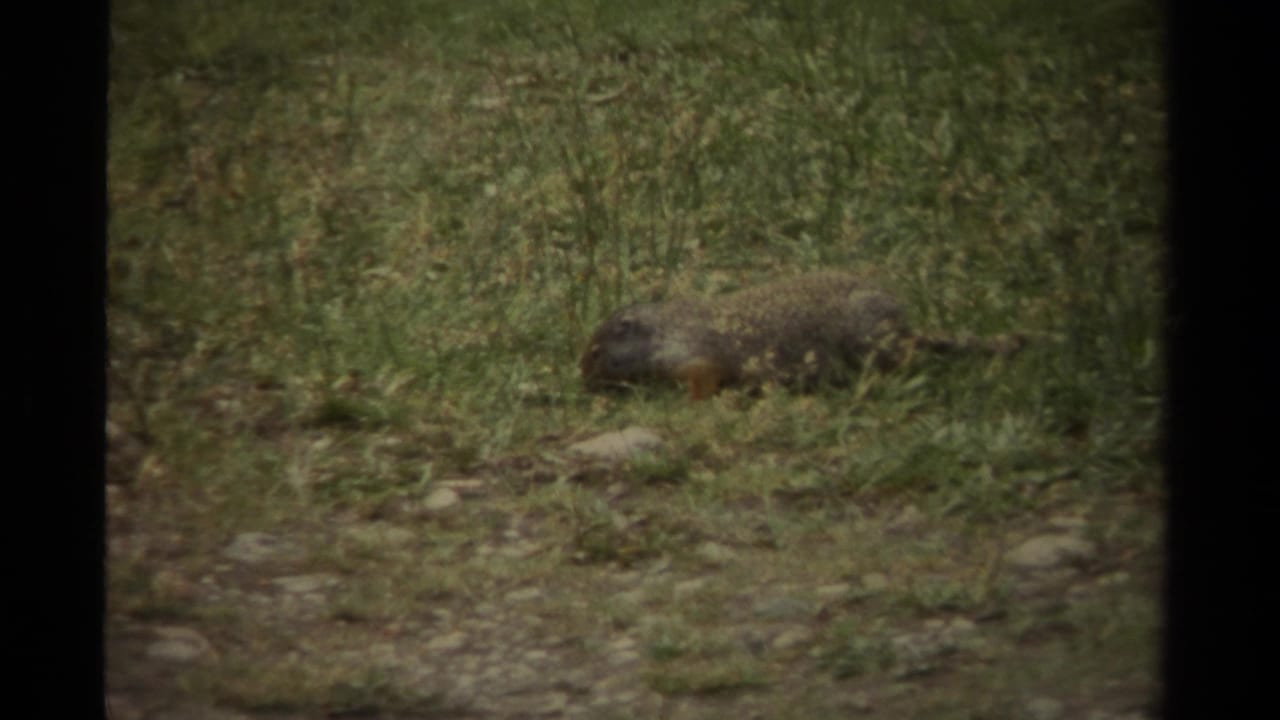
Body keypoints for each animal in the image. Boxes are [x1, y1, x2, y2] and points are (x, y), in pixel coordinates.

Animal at [580, 271, 1024, 400]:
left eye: (597, 351)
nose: (583, 378)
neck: (664, 331)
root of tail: (905, 328)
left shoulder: (693, 356)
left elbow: (703, 379)